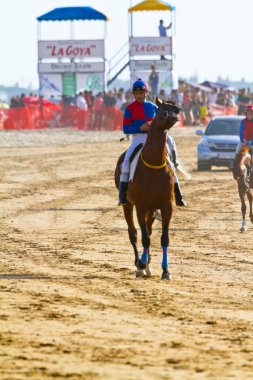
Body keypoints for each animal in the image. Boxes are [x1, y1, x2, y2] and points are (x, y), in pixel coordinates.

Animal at [114, 98, 180, 280]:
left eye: (175, 108)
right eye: (161, 109)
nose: (175, 114)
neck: (153, 165)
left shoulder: (166, 206)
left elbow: (164, 238)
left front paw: (165, 270)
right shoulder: (140, 206)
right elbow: (144, 238)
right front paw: (141, 264)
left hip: (151, 209)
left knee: (149, 231)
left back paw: (148, 263)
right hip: (128, 205)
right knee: (134, 233)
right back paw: (139, 264)